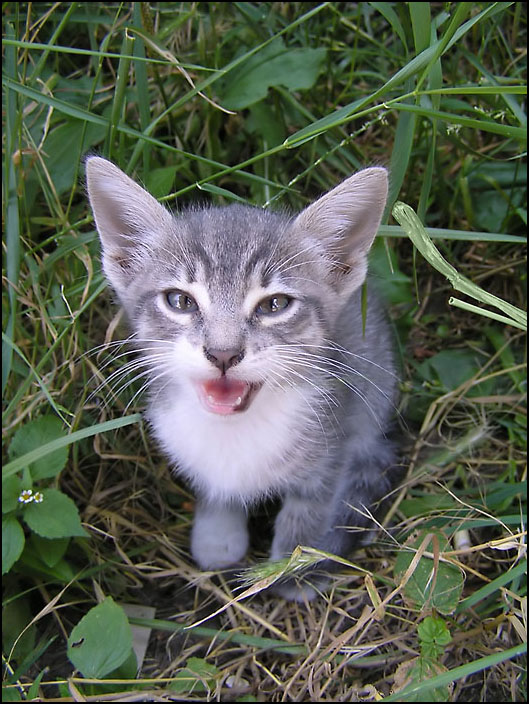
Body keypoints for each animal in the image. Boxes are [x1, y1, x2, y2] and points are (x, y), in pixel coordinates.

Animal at [86, 158, 398, 600]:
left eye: (275, 305)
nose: (223, 353)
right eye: (180, 301)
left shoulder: (336, 438)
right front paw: (217, 535)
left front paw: (293, 569)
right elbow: (214, 486)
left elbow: (310, 510)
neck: (235, 431)